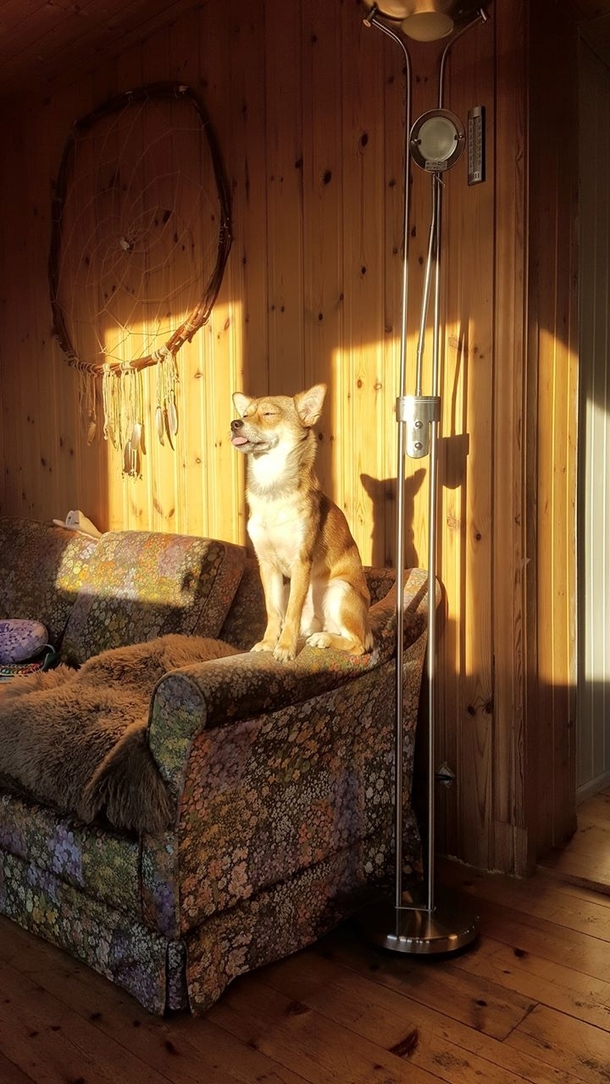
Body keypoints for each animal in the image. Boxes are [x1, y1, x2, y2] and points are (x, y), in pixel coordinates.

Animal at [229, 385, 372, 663]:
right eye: (245, 413)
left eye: (268, 413)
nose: (234, 423)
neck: (271, 486)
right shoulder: (267, 564)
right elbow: (274, 612)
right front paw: (268, 643)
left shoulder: (301, 562)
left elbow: (291, 614)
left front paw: (285, 648)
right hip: (290, 589)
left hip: (339, 589)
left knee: (358, 645)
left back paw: (324, 639)